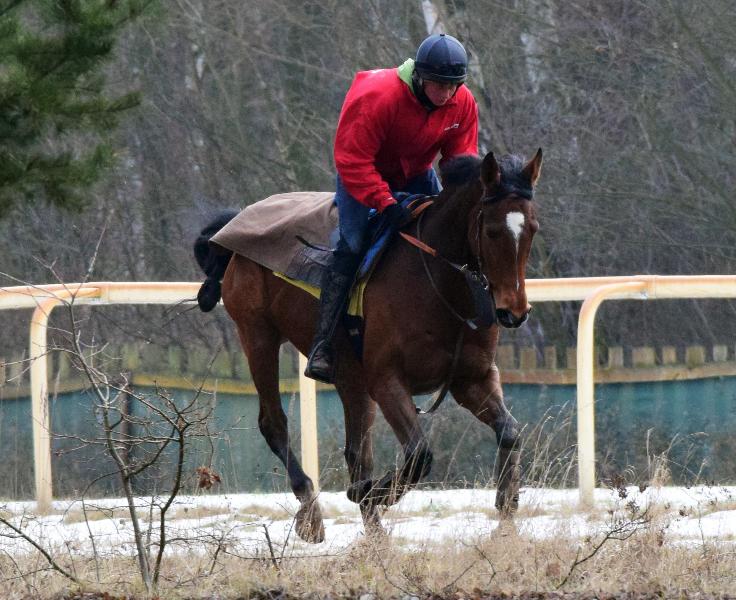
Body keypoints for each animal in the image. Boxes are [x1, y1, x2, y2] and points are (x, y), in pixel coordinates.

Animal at [196, 149, 540, 540]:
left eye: (532, 229)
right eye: (492, 231)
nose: (514, 312)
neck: (439, 283)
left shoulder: (471, 379)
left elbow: (510, 432)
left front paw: (506, 508)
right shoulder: (387, 381)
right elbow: (419, 456)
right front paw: (370, 492)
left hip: (350, 378)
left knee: (356, 452)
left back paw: (374, 535)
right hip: (257, 335)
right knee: (275, 423)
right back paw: (311, 512)